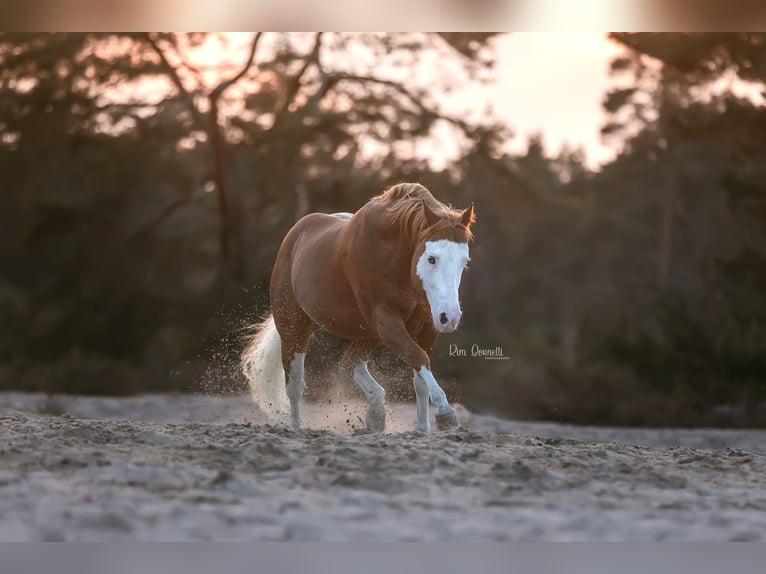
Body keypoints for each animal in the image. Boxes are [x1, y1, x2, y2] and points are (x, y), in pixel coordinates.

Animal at [243, 183, 476, 432]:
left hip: (368, 333)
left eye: (464, 261)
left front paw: (422, 428)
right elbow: (419, 357)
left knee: (349, 365)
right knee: (295, 385)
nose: (450, 318)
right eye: (431, 258)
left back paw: (376, 413)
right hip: (295, 329)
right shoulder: (387, 321)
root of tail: (294, 237)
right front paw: (445, 413)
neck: (393, 255)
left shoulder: (426, 327)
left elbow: (420, 377)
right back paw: (297, 428)